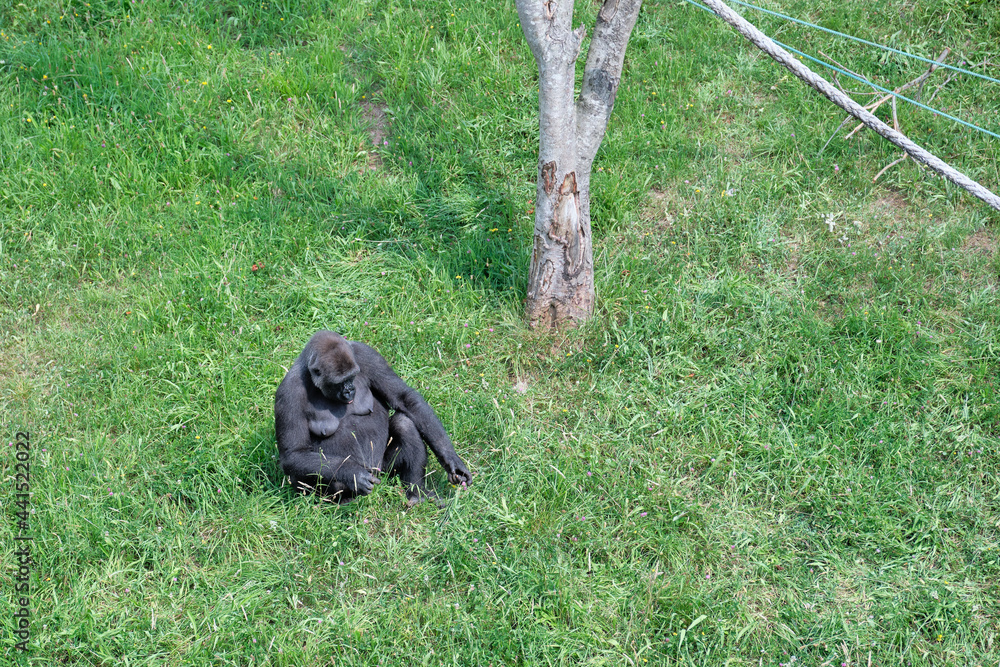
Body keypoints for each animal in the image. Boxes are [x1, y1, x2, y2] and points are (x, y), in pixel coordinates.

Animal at [274, 330, 472, 505]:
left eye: (352, 377)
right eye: (339, 383)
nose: (349, 390)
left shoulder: (367, 355)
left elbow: (405, 399)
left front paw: (450, 459)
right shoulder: (288, 393)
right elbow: (294, 453)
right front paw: (353, 473)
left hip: (382, 471)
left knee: (404, 423)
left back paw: (417, 492)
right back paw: (345, 500)